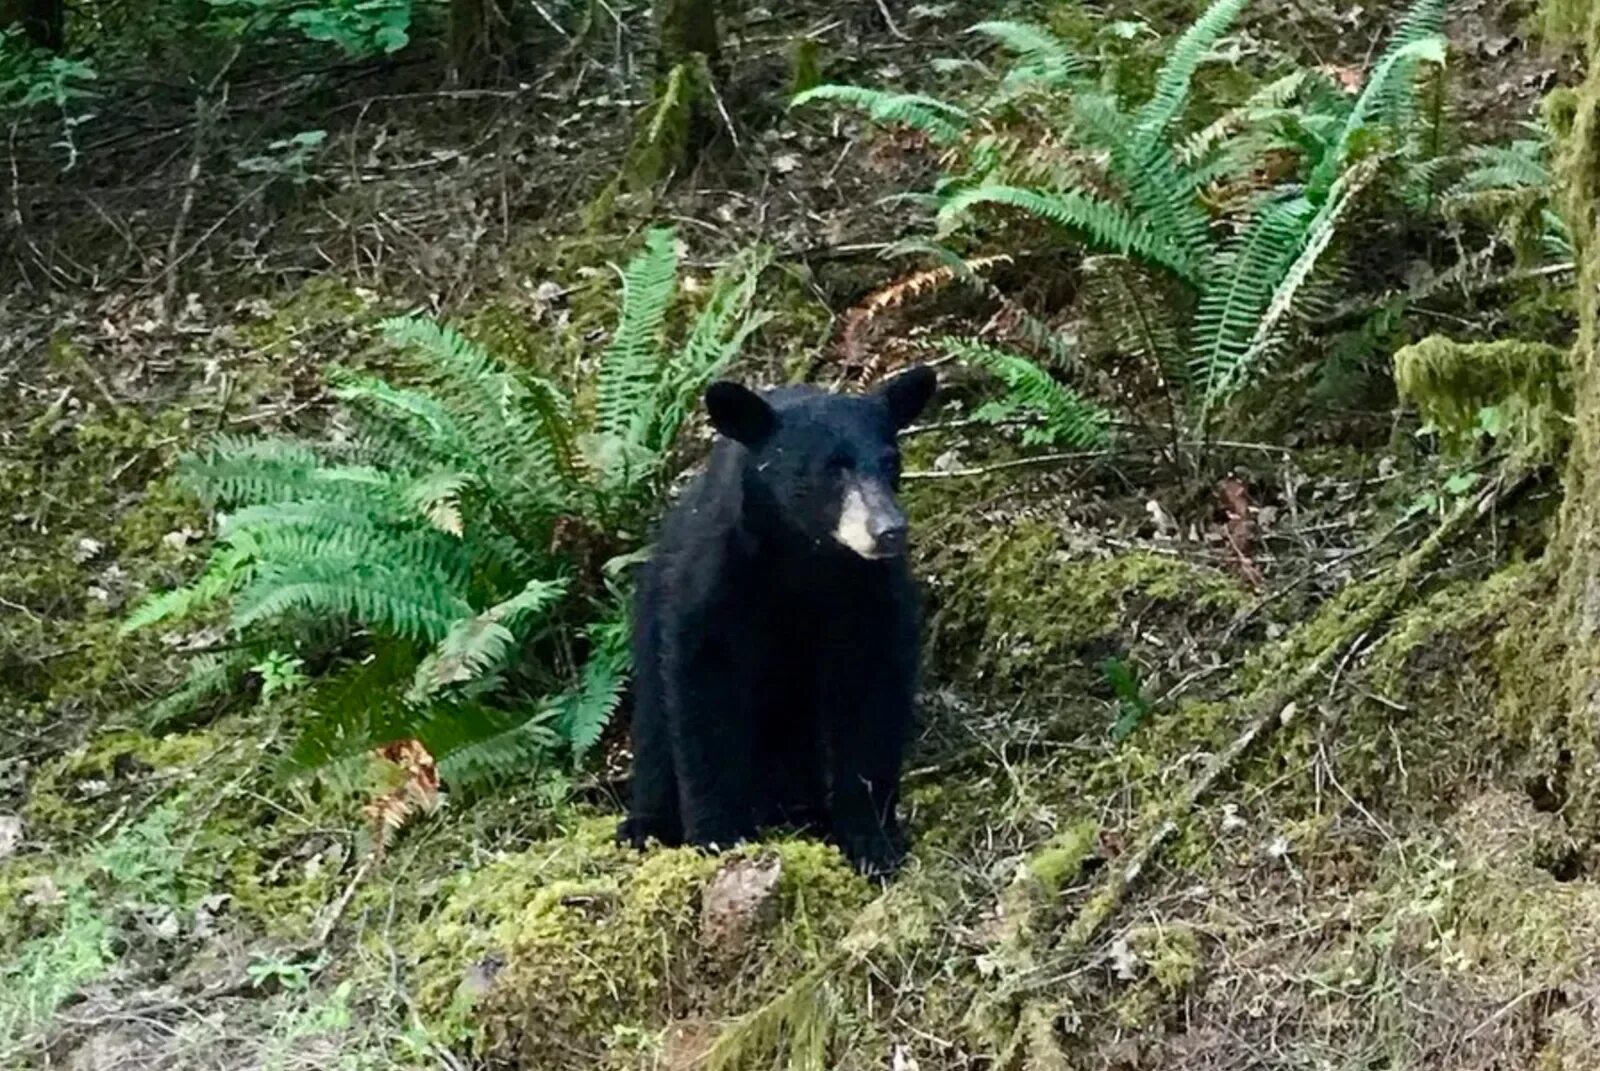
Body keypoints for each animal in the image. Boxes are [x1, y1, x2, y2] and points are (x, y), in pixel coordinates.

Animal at [614, 363, 934, 870]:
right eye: (831, 468)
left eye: (890, 463)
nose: (888, 531)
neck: (804, 556)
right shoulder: (717, 578)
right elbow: (705, 692)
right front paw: (718, 834)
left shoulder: (870, 594)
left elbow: (872, 698)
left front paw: (871, 839)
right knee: (654, 722)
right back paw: (645, 825)